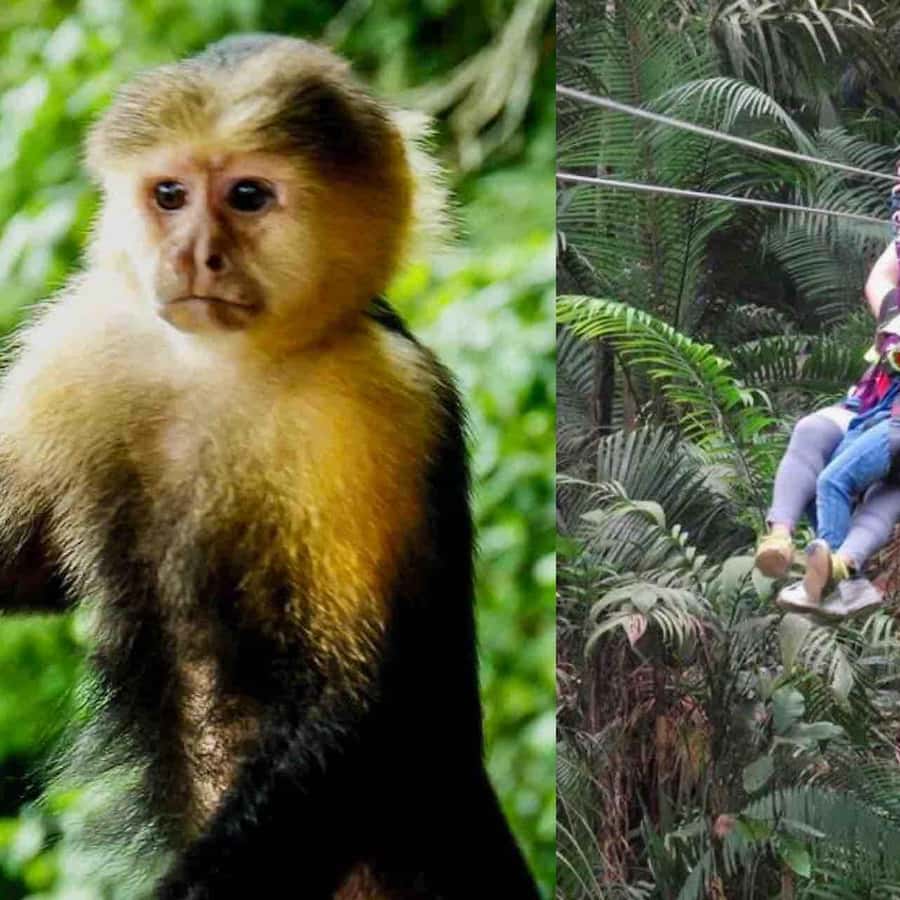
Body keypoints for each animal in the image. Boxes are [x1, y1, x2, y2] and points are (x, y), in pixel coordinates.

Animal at [0, 34, 541, 900]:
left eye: (249, 195)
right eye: (171, 195)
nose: (196, 255)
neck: (225, 366)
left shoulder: (379, 401)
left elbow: (359, 706)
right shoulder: (83, 337)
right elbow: (27, 567)